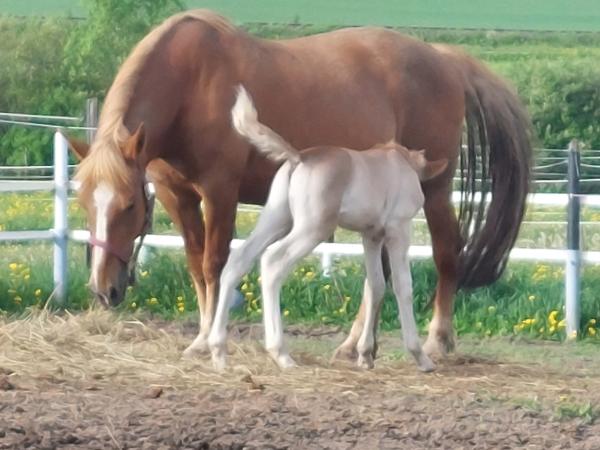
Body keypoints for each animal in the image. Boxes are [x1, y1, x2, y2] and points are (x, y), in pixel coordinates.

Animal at [208, 86, 448, 371]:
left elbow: (375, 285)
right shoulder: (398, 229)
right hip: (313, 229)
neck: (402, 162)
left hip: (276, 219)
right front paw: (420, 356)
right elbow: (403, 285)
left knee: (239, 260)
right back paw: (280, 353)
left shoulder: (371, 235)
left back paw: (218, 351)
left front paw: (365, 355)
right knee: (272, 262)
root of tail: (299, 157)